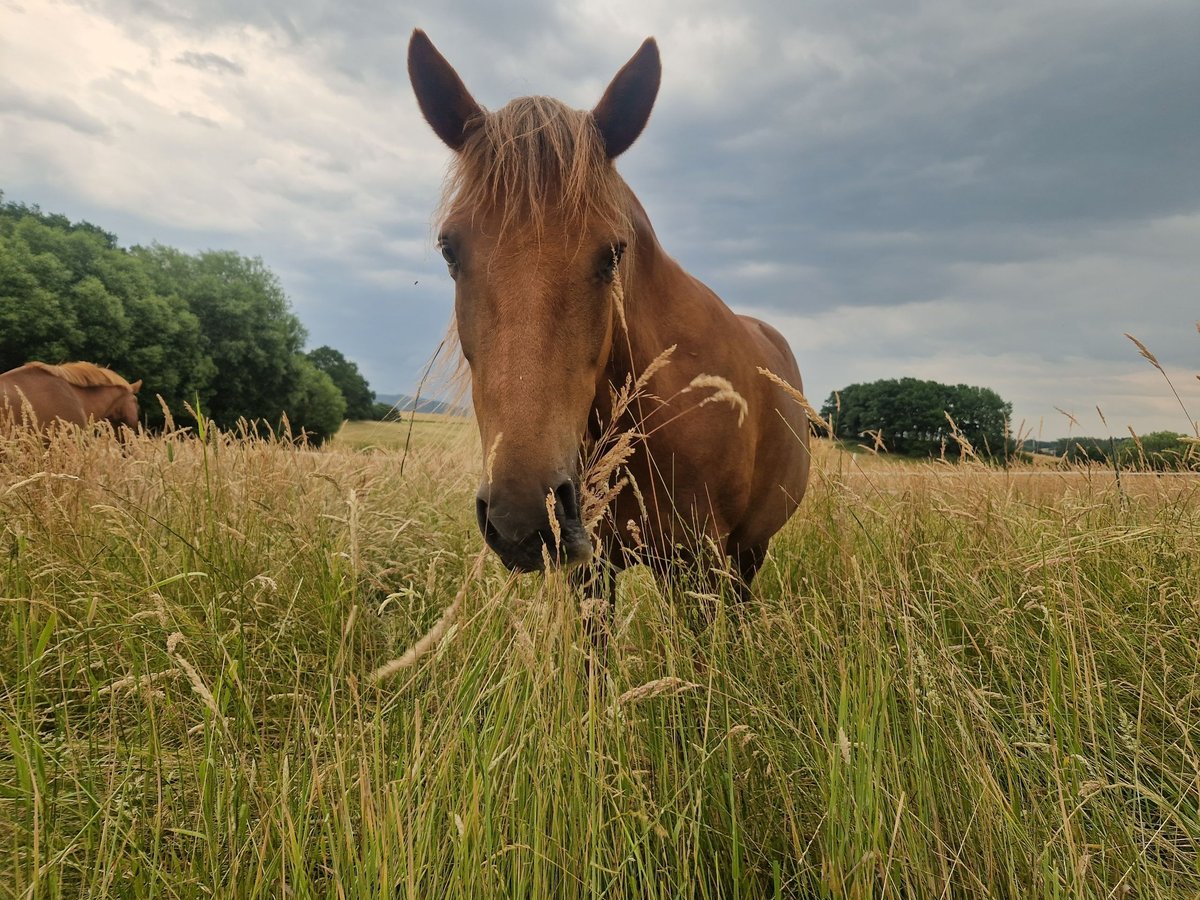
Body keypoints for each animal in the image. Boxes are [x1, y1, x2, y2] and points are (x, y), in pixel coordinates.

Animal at [408, 31, 810, 603]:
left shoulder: (698, 568)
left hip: (748, 553)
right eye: (448, 249)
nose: (525, 517)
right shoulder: (594, 572)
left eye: (613, 253)